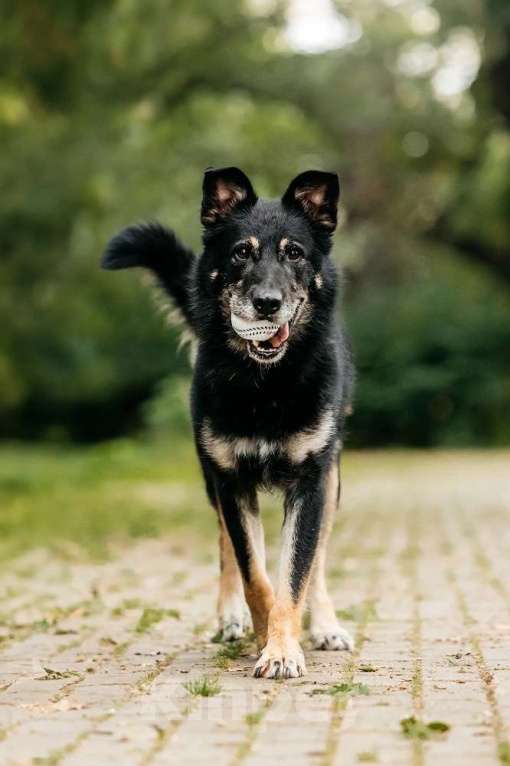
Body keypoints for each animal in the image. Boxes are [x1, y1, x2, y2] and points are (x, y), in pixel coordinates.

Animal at [100, 166, 354, 680]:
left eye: (294, 253)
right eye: (241, 252)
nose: (267, 303)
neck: (266, 384)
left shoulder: (311, 482)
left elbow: (296, 570)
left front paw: (283, 647)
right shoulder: (230, 480)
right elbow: (254, 573)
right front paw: (263, 635)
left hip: (332, 478)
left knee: (318, 559)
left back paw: (324, 625)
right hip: (210, 477)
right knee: (226, 547)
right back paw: (230, 618)